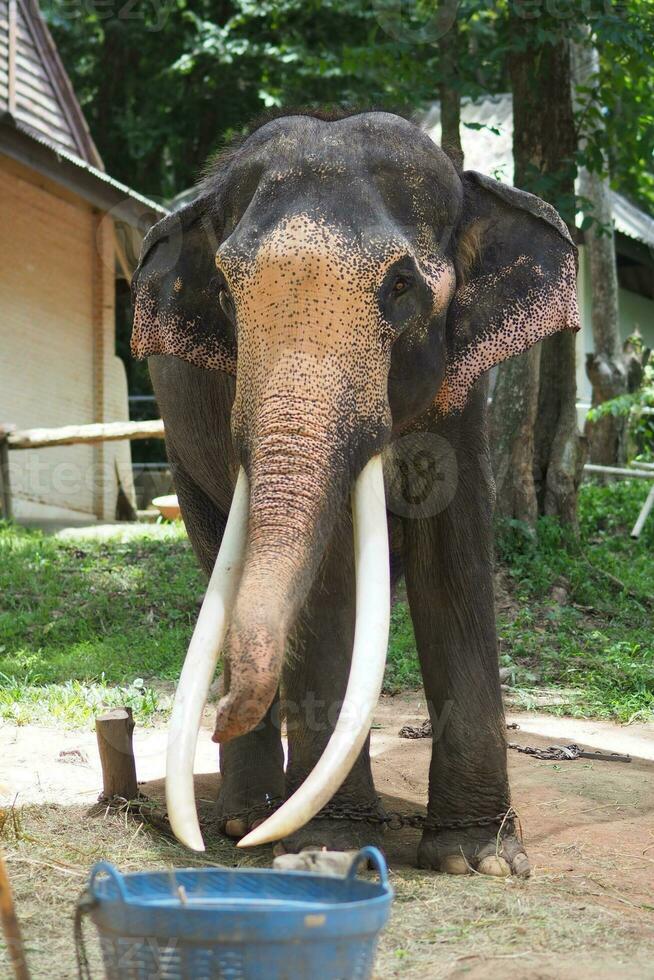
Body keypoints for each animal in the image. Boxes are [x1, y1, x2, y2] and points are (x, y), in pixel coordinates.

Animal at [132, 105, 580, 872]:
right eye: (225, 294)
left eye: (400, 287)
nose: (217, 720)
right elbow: (330, 577)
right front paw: (331, 845)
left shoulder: (464, 389)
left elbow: (454, 556)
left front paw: (478, 858)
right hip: (183, 455)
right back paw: (249, 817)